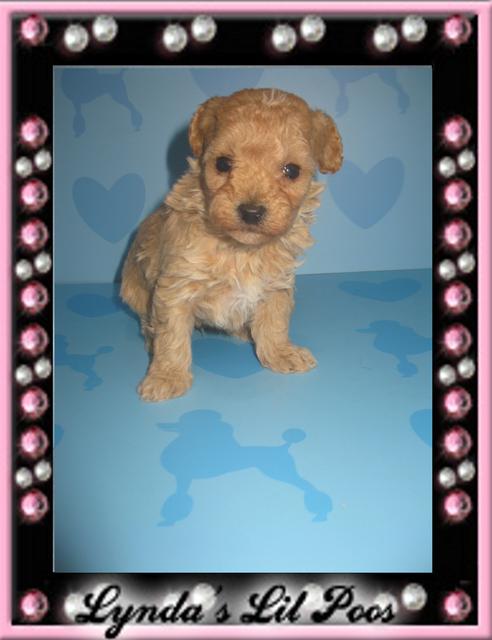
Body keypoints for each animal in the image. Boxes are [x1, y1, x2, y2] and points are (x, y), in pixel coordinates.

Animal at [121, 88, 343, 401]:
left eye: (292, 170)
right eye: (223, 163)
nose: (251, 212)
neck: (240, 249)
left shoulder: (276, 284)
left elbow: (274, 323)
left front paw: (280, 353)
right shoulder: (176, 285)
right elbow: (172, 335)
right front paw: (167, 376)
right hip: (134, 291)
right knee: (145, 319)